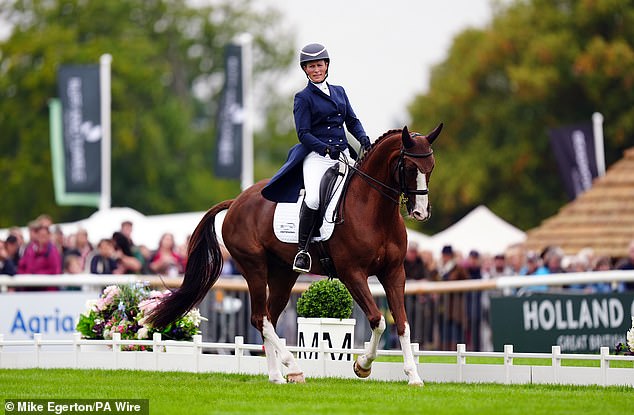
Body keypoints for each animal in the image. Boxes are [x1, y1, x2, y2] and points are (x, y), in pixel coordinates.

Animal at [147, 125, 440, 386]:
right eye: (410, 168)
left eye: (431, 167)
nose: (421, 213)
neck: (373, 211)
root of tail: (237, 201)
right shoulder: (352, 274)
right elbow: (378, 320)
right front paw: (362, 366)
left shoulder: (394, 273)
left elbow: (402, 323)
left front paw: (413, 376)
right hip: (254, 267)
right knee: (261, 318)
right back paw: (294, 367)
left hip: (283, 274)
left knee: (269, 318)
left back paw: (277, 376)